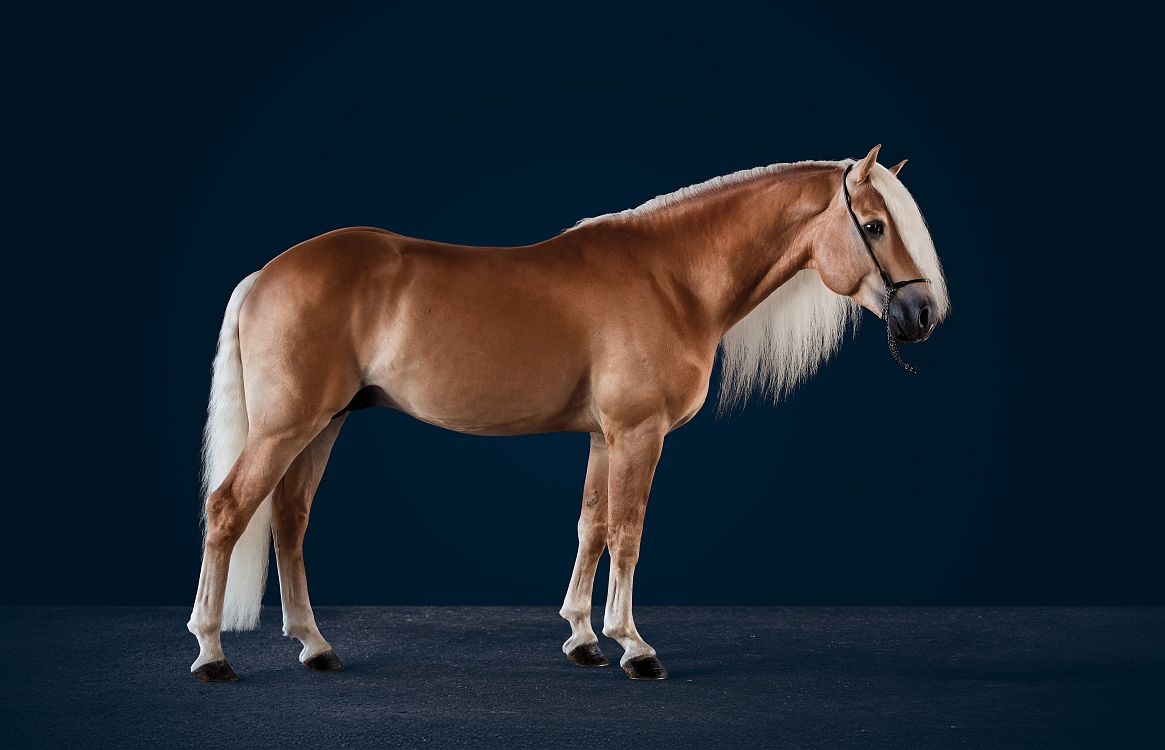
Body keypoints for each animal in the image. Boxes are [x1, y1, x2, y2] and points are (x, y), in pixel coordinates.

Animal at [187, 144, 950, 682]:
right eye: (873, 225)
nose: (920, 315)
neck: (671, 278)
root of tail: (265, 274)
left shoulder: (604, 437)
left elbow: (592, 526)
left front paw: (583, 637)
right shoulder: (638, 433)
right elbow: (630, 532)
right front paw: (634, 646)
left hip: (325, 423)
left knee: (289, 520)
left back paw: (315, 646)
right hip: (288, 426)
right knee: (229, 510)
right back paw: (212, 654)